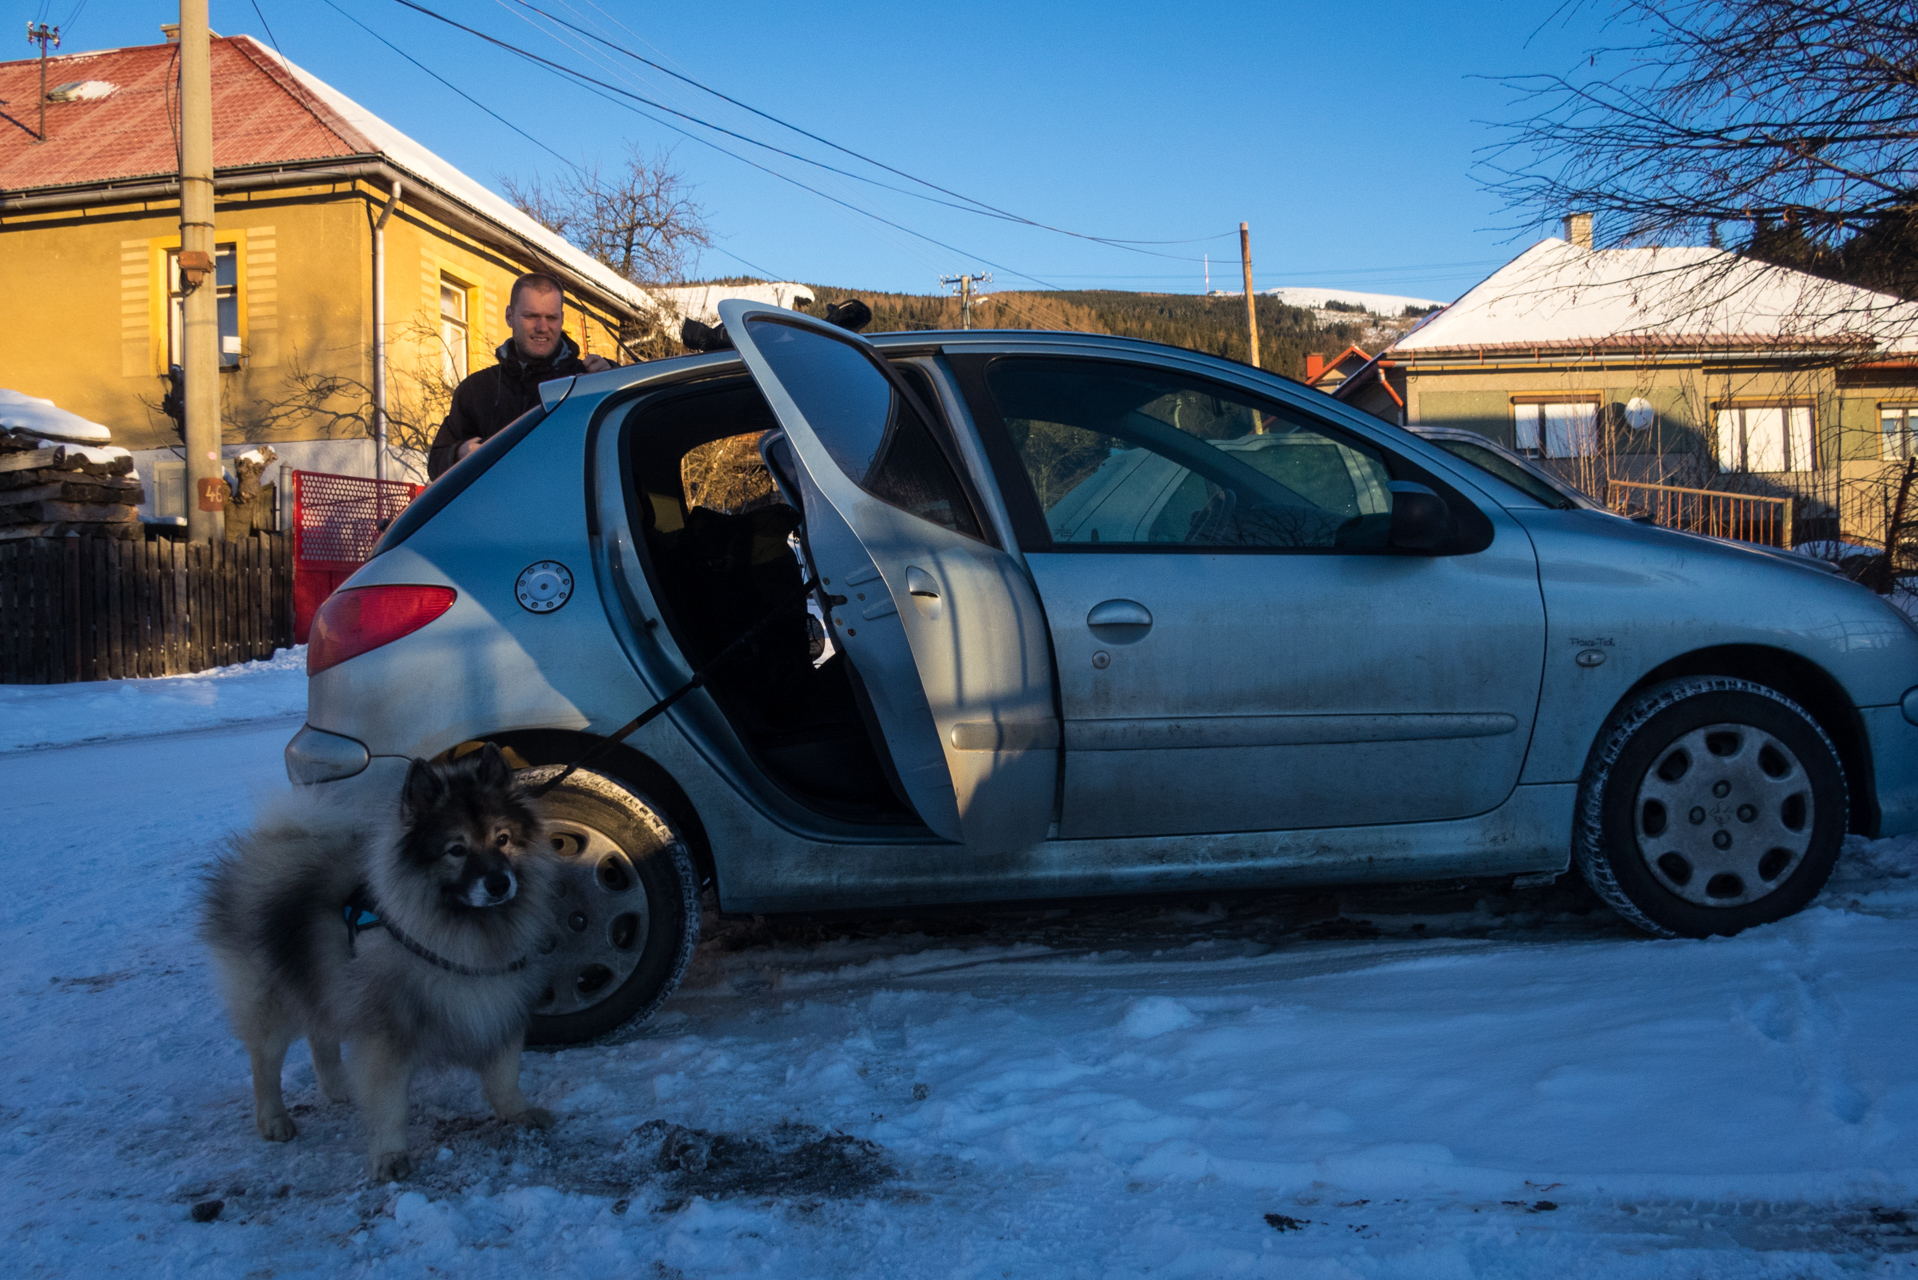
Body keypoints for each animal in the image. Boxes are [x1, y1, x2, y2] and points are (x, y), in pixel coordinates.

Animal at [204, 744, 560, 1189]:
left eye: (503, 839)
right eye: (456, 849)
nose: (499, 884)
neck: (463, 933)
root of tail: (277, 846)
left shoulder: (500, 1007)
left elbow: (504, 1076)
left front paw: (518, 1113)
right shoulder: (387, 1035)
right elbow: (389, 1102)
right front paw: (390, 1157)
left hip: (327, 981)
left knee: (321, 1034)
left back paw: (338, 1088)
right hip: (272, 998)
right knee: (266, 1061)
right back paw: (274, 1119)